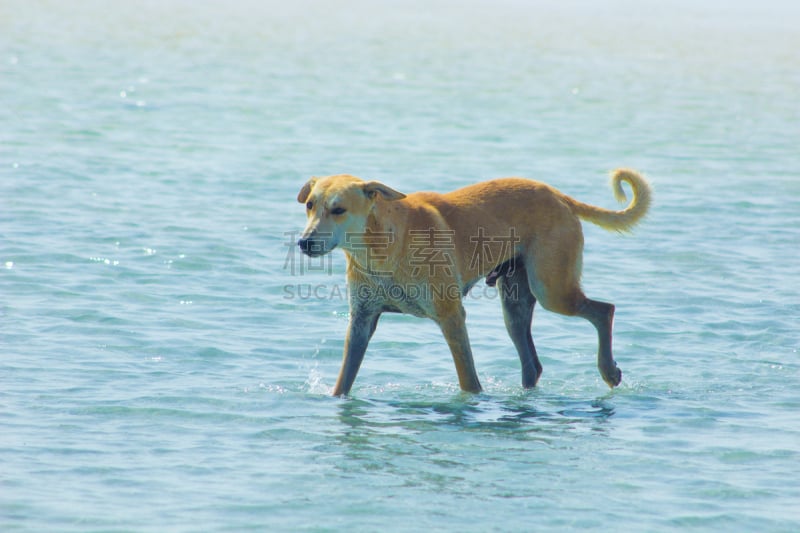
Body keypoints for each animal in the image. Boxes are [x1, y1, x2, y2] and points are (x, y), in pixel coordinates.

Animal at [294, 170, 648, 394]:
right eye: (310, 205)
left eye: (338, 209)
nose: (304, 242)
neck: (382, 247)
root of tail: (558, 196)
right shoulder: (362, 320)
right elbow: (344, 380)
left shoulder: (451, 316)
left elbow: (469, 380)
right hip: (515, 304)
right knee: (532, 364)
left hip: (552, 290)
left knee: (604, 310)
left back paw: (608, 370)